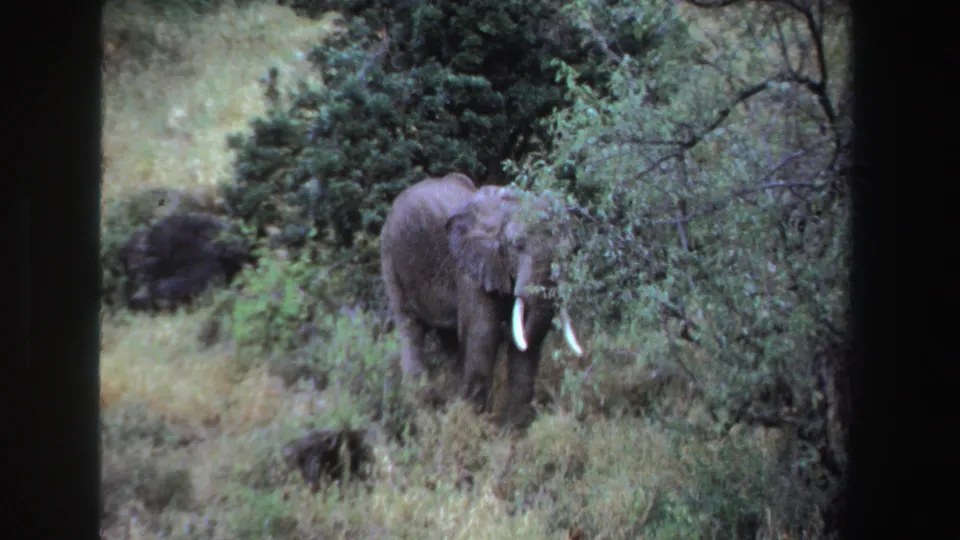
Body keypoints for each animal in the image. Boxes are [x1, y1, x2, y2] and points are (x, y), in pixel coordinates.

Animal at [379, 172, 584, 427]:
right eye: (518, 245)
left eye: (572, 250)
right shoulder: (470, 270)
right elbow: (483, 333)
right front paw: (478, 423)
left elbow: (528, 343)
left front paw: (511, 430)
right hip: (391, 259)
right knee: (410, 329)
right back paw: (420, 407)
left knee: (450, 339)